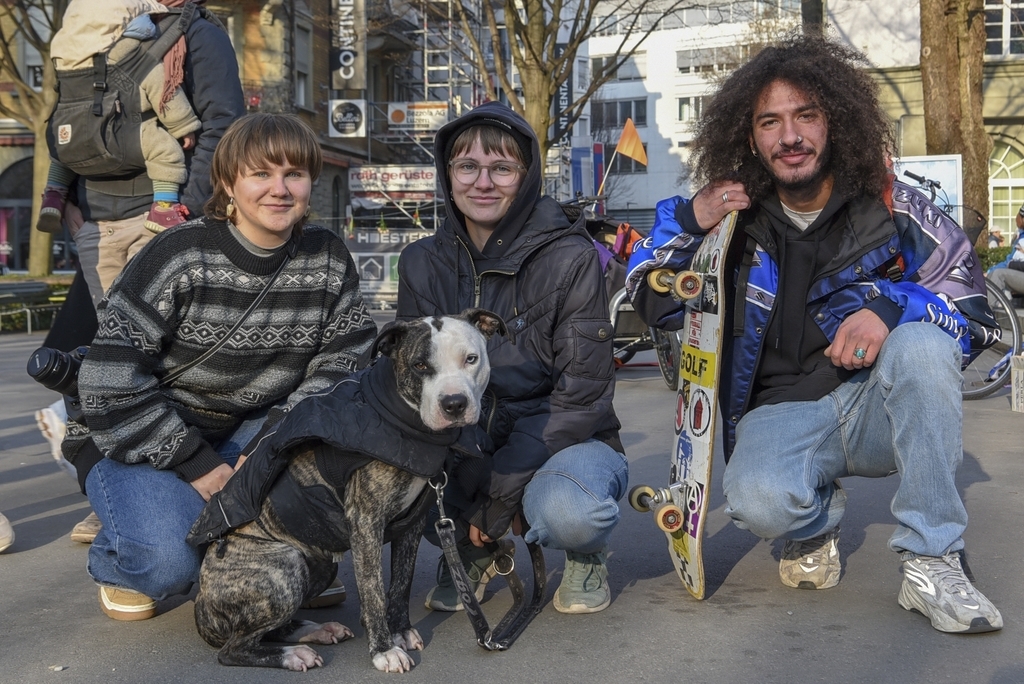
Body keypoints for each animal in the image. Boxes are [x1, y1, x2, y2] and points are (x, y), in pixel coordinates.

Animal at [188, 309, 503, 671]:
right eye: (420, 365)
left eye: (471, 359)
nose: (454, 403)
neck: (401, 419)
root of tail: (201, 608)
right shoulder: (366, 522)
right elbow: (373, 589)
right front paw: (383, 650)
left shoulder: (412, 523)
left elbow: (401, 581)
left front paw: (400, 630)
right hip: (284, 564)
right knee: (233, 648)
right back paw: (293, 654)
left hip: (319, 565)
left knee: (271, 628)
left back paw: (316, 631)